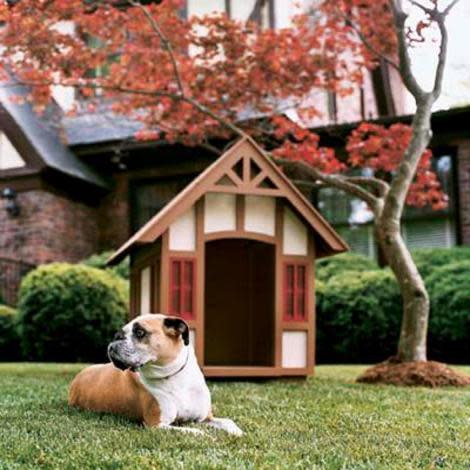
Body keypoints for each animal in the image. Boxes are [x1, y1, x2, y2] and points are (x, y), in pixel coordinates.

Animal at [69, 314, 242, 436]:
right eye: (120, 334)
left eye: (140, 332)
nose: (116, 337)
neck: (175, 378)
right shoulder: (157, 425)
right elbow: (191, 431)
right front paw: (204, 434)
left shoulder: (205, 418)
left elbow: (228, 422)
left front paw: (237, 432)